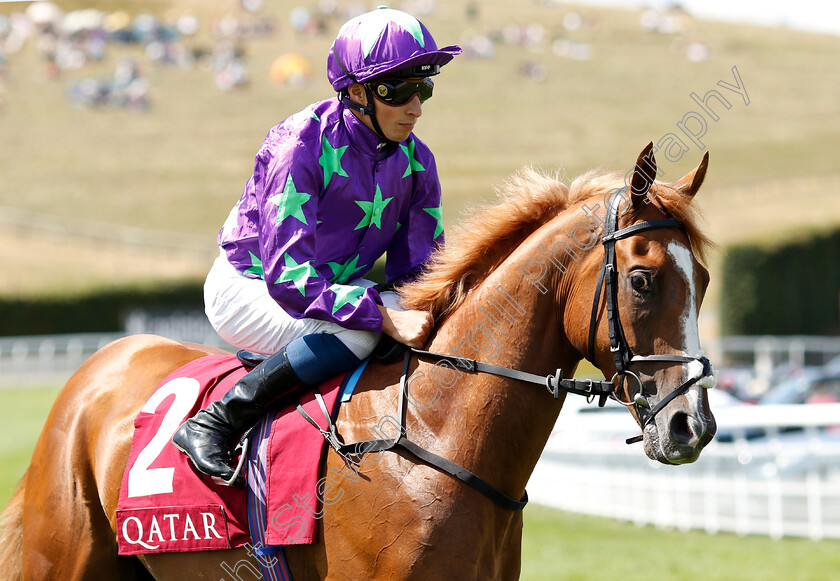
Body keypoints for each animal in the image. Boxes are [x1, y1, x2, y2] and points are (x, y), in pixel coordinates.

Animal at [3, 143, 720, 576]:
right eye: (642, 280)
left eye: (706, 279)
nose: (693, 425)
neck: (435, 435)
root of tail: (97, 368)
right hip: (60, 557)